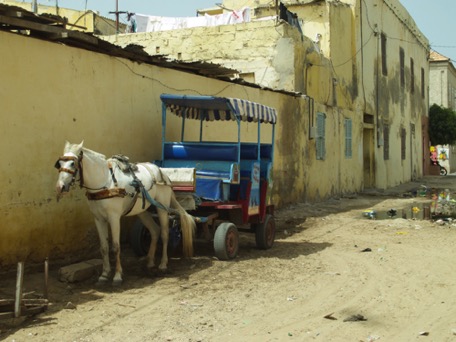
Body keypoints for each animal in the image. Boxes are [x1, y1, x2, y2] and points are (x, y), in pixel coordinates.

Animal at [54, 140, 195, 284]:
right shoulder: (98, 219)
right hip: (142, 211)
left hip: (162, 207)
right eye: (59, 163)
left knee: (165, 234)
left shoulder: (114, 218)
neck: (104, 182)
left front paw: (117, 276)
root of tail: (163, 174)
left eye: (73, 163)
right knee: (155, 231)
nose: (60, 187)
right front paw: (104, 274)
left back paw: (163, 264)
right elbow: (104, 247)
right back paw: (150, 262)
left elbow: (116, 246)